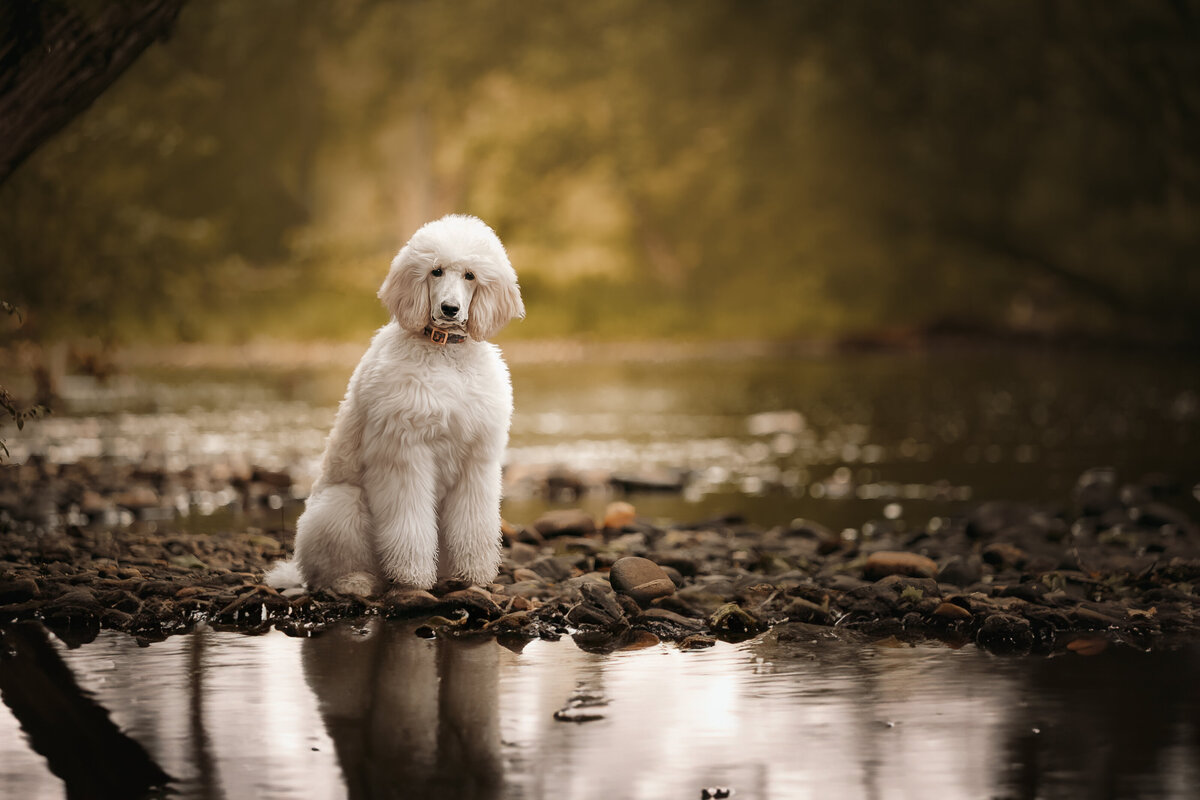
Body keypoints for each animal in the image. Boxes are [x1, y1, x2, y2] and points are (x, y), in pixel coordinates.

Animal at [270, 214, 523, 594]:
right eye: (435, 271)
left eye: (470, 275)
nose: (450, 310)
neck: (444, 353)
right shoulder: (405, 452)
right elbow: (409, 524)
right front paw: (413, 577)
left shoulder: (477, 460)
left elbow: (474, 524)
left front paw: (474, 575)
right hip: (341, 506)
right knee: (328, 574)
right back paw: (358, 582)